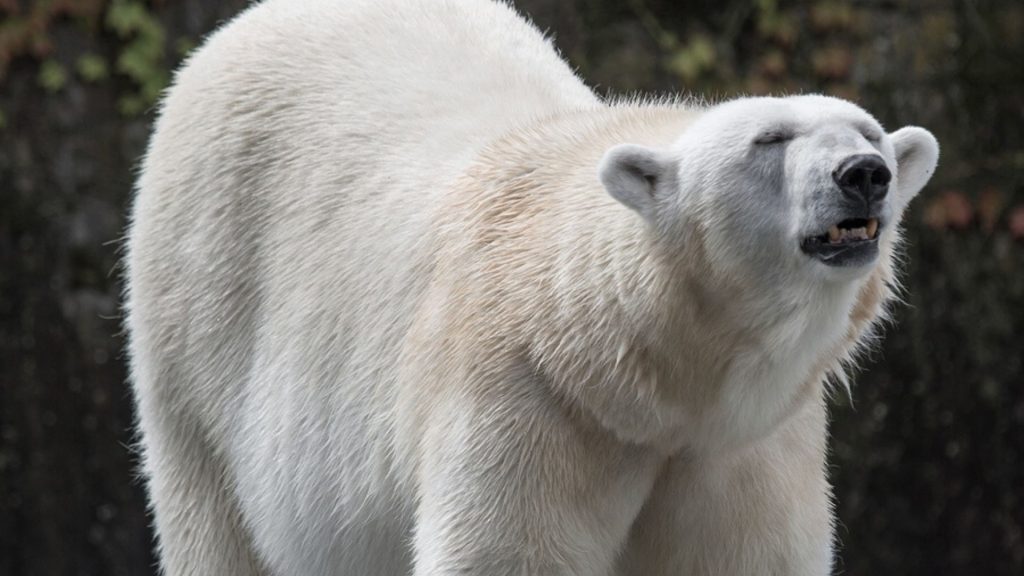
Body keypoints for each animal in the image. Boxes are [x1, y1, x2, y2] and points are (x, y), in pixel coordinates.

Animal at [123, 1, 937, 573]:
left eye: (868, 131)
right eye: (769, 139)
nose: (864, 174)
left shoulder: (747, 441)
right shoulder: (532, 402)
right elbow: (510, 553)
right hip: (200, 313)